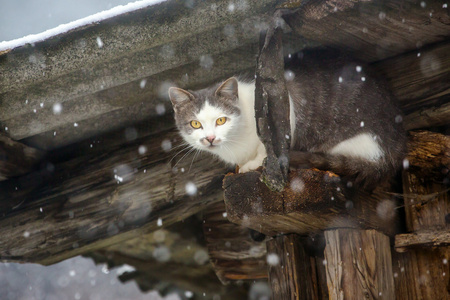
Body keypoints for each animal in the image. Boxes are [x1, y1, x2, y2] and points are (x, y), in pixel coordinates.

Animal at [169, 50, 408, 189]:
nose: (209, 138)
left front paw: (256, 163)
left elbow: (270, 144)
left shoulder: (282, 103)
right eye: (195, 124)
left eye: (221, 120)